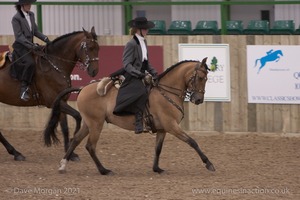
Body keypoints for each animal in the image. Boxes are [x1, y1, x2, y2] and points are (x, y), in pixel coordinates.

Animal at [0, 27, 101, 161]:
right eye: (89, 47)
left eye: (98, 48)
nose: (94, 71)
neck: (54, 64)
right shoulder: (53, 101)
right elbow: (77, 115)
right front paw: (74, 140)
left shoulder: (61, 101)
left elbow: (65, 127)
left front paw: (70, 153)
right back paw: (15, 153)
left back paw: (15, 153)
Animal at [44, 57, 216, 174]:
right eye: (201, 78)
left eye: (207, 78)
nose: (198, 100)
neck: (166, 92)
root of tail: (82, 88)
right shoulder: (172, 126)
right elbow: (192, 142)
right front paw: (208, 163)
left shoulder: (163, 129)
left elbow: (158, 149)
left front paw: (156, 168)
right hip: (96, 124)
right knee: (90, 146)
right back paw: (104, 170)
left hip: (88, 124)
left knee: (76, 141)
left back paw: (63, 165)